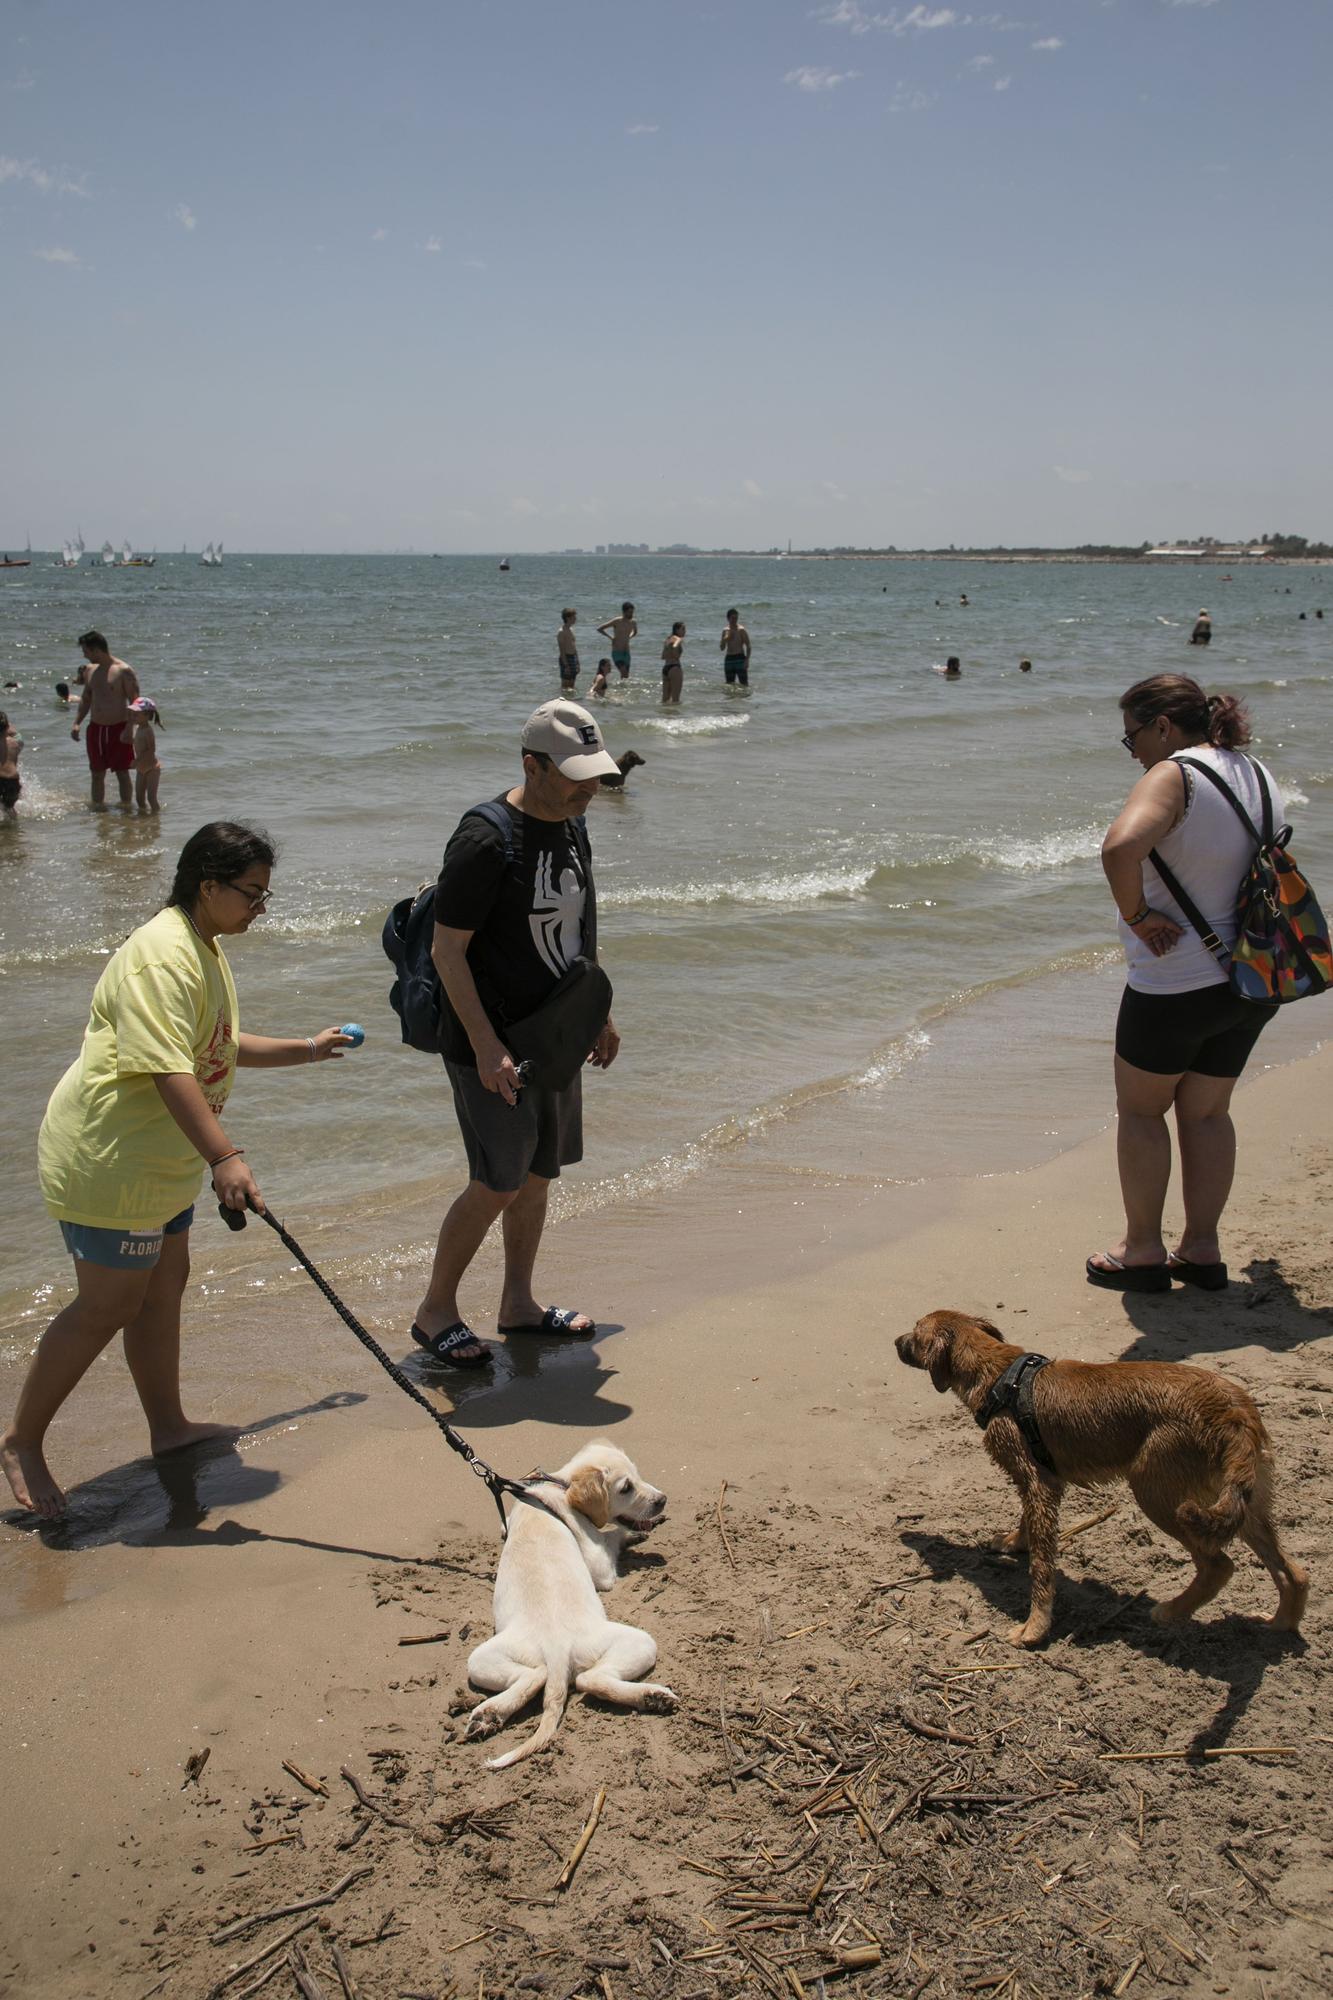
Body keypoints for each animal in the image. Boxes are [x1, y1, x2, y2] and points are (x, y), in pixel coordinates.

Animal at [464, 1440, 676, 1768]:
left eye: (637, 1474)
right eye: (626, 1488)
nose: (662, 1500)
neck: (559, 1486)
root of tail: (557, 1650)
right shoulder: (600, 1563)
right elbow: (614, 1534)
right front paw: (636, 1532)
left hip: (482, 1658)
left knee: (539, 1675)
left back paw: (491, 1713)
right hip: (642, 1641)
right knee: (588, 1679)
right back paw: (654, 1696)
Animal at [888, 1304, 1304, 1648]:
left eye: (915, 1331)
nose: (893, 1341)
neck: (998, 1375)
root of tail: (1234, 1413)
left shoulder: (1040, 1483)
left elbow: (1042, 1568)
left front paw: (1034, 1628)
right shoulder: (1041, 1478)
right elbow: (1026, 1524)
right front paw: (1013, 1542)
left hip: (1158, 1492)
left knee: (1218, 1566)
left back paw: (1171, 1611)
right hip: (1244, 1501)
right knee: (1293, 1573)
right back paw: (1281, 1622)